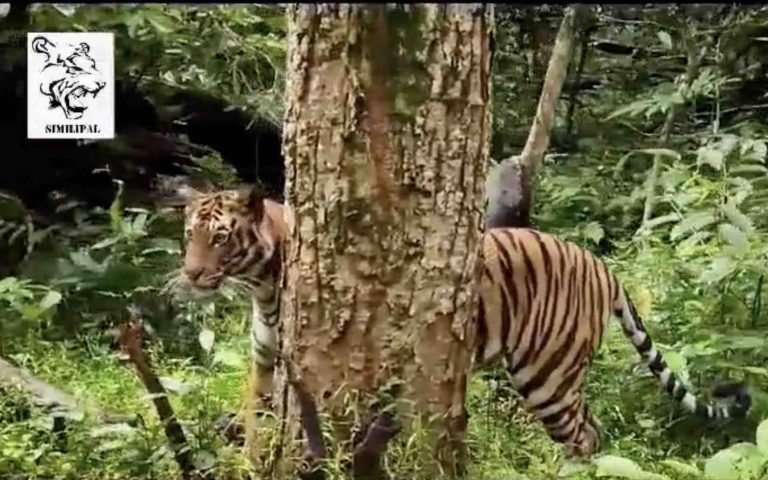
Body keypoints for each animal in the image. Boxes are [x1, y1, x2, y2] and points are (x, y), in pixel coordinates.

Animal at [176, 187, 751, 457]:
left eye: (221, 237)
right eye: (190, 234)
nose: (190, 272)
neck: (261, 284)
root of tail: (604, 268)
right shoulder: (262, 357)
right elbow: (254, 416)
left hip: (547, 375)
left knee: (584, 435)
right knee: (595, 428)